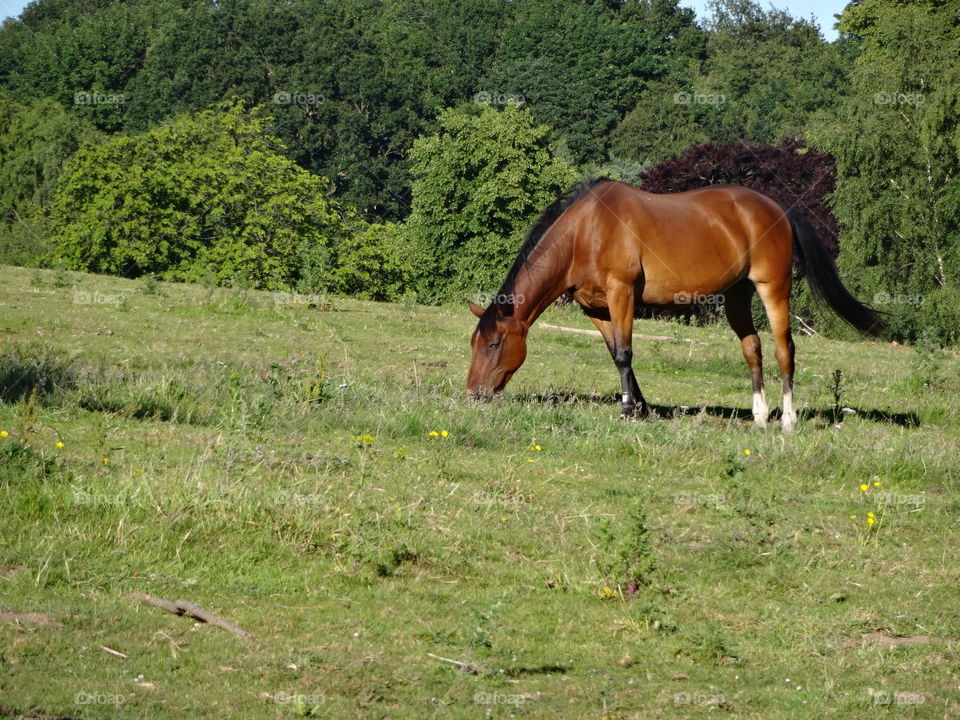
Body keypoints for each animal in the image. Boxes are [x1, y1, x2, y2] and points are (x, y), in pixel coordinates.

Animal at [466, 178, 884, 431]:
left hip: (773, 288)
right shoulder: (597, 309)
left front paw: (628, 411)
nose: (473, 394)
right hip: (737, 295)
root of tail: (776, 207)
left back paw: (789, 419)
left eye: (494, 344)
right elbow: (616, 354)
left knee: (784, 350)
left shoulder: (621, 294)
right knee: (752, 348)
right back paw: (759, 415)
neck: (587, 231)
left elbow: (625, 353)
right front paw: (642, 407)